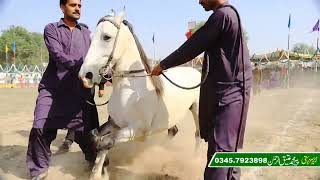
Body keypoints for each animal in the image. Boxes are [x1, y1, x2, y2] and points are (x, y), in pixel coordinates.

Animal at [79, 10, 201, 179]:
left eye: (106, 37)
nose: (86, 75)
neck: (131, 89)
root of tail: (196, 71)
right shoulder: (116, 123)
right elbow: (95, 138)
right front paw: (98, 172)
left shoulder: (137, 130)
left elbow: (106, 142)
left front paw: (101, 171)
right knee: (173, 131)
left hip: (196, 110)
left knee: (197, 135)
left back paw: (193, 160)